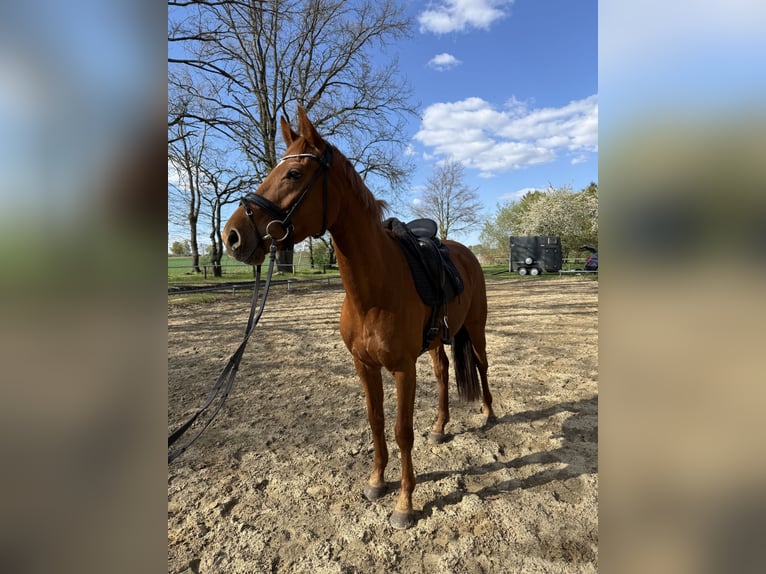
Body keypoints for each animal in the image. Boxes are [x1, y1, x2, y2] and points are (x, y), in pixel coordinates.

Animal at [222, 107, 495, 529]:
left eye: (294, 173)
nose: (232, 236)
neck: (374, 289)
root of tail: (465, 253)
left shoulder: (402, 369)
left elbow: (401, 432)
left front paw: (404, 503)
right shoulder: (363, 365)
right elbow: (376, 421)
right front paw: (377, 481)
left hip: (476, 329)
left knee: (481, 365)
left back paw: (487, 413)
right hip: (437, 340)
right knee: (443, 370)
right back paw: (439, 427)